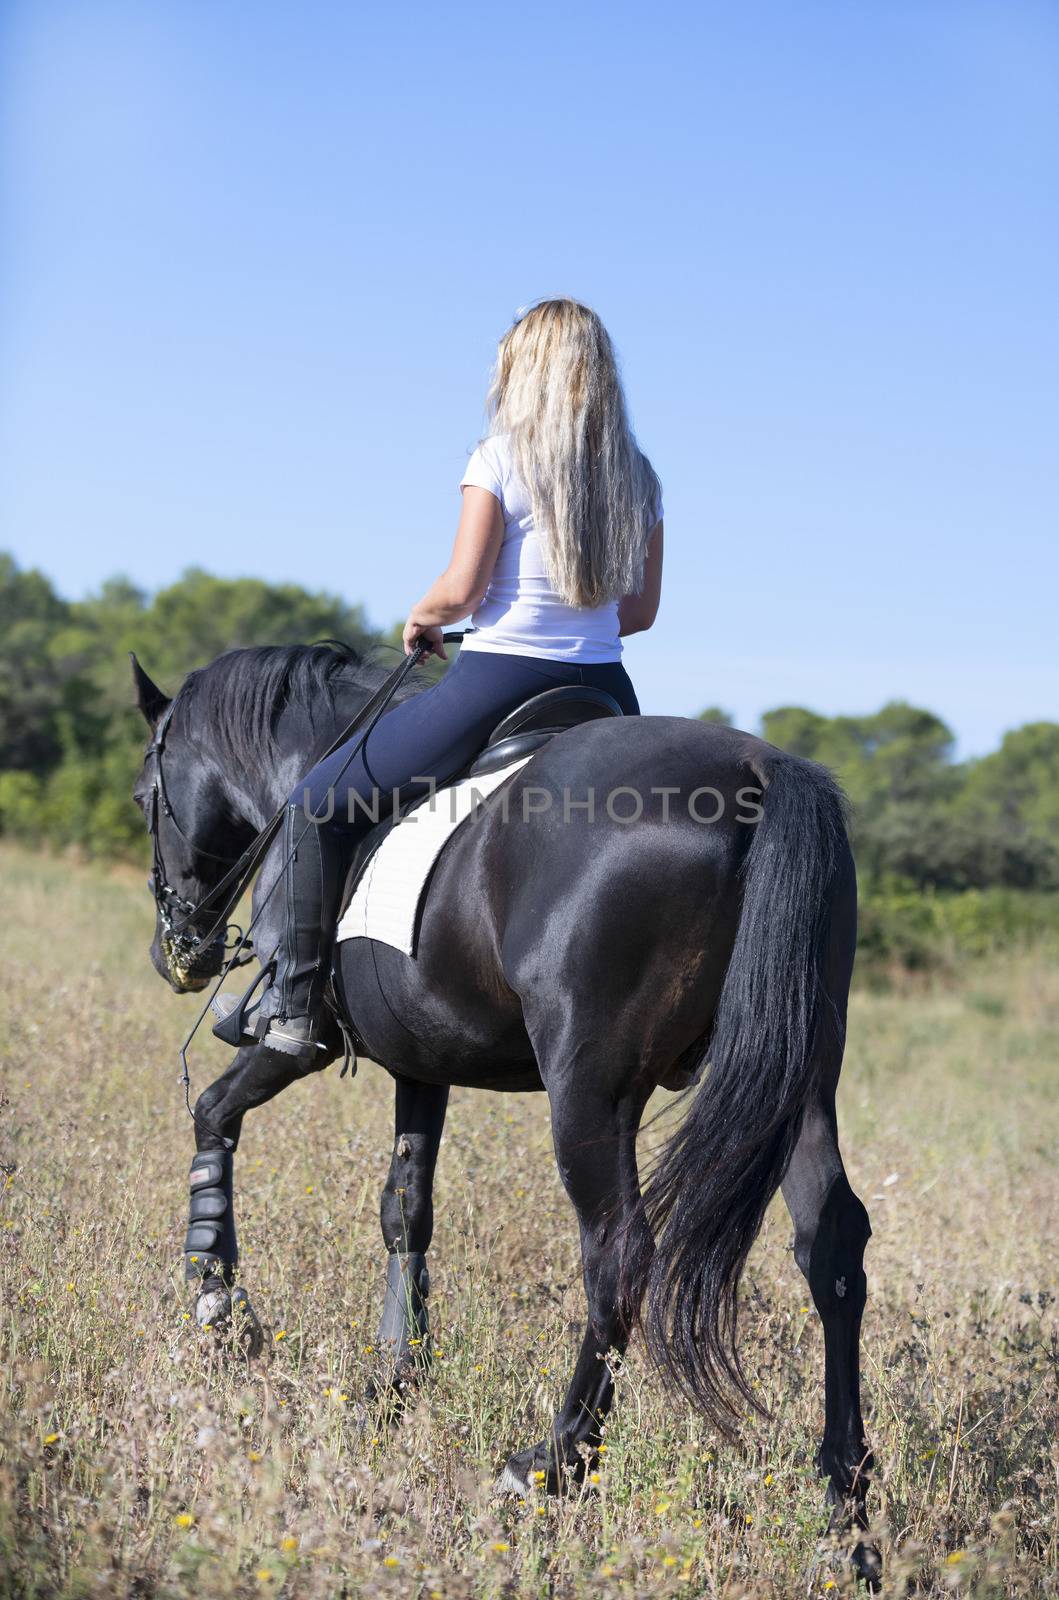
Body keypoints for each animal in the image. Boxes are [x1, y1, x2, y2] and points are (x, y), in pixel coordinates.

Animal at [130, 636, 876, 1574]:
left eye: (143, 798)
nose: (178, 953)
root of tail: (757, 769)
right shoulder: (421, 1060)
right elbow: (405, 1210)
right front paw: (394, 1379)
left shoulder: (303, 1044)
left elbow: (214, 1114)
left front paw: (215, 1297)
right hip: (798, 1071)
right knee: (831, 1249)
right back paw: (846, 1512)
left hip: (591, 1085)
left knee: (618, 1253)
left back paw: (549, 1465)